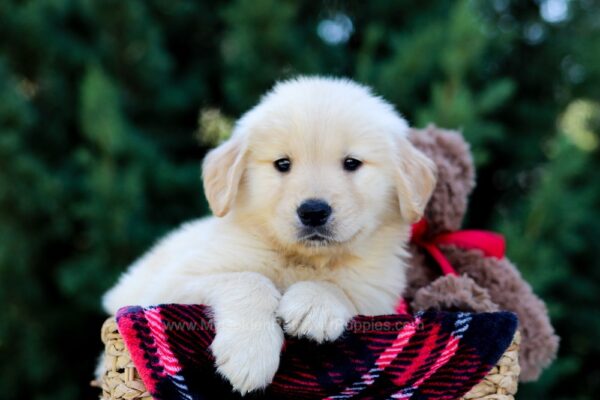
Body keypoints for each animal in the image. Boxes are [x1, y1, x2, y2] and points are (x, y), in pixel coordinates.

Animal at [103, 76, 436, 396]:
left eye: (352, 163)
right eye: (282, 164)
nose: (313, 211)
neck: (303, 258)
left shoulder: (377, 296)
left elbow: (339, 286)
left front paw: (313, 305)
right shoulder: (173, 285)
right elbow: (249, 279)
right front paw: (250, 354)